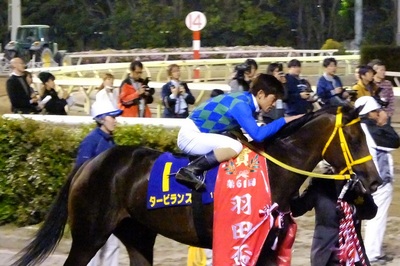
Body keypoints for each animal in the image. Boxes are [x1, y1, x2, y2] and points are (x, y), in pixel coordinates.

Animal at [11, 105, 382, 266]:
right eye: (354, 137)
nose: (375, 180)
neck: (269, 171)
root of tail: (88, 163)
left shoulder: (264, 246)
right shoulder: (238, 240)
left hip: (137, 234)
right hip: (90, 235)